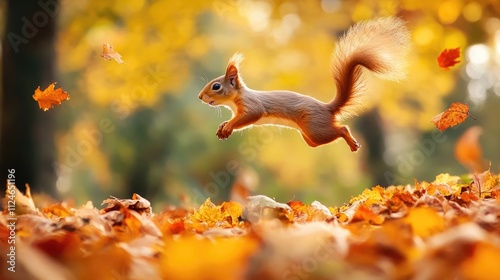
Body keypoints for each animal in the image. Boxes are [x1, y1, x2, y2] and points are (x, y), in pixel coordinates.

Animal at [198, 16, 410, 152]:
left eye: (216, 86)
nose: (200, 97)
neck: (235, 101)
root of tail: (327, 108)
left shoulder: (252, 106)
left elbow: (250, 116)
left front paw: (229, 126)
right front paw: (223, 126)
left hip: (316, 130)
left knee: (342, 129)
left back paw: (351, 142)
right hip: (310, 138)